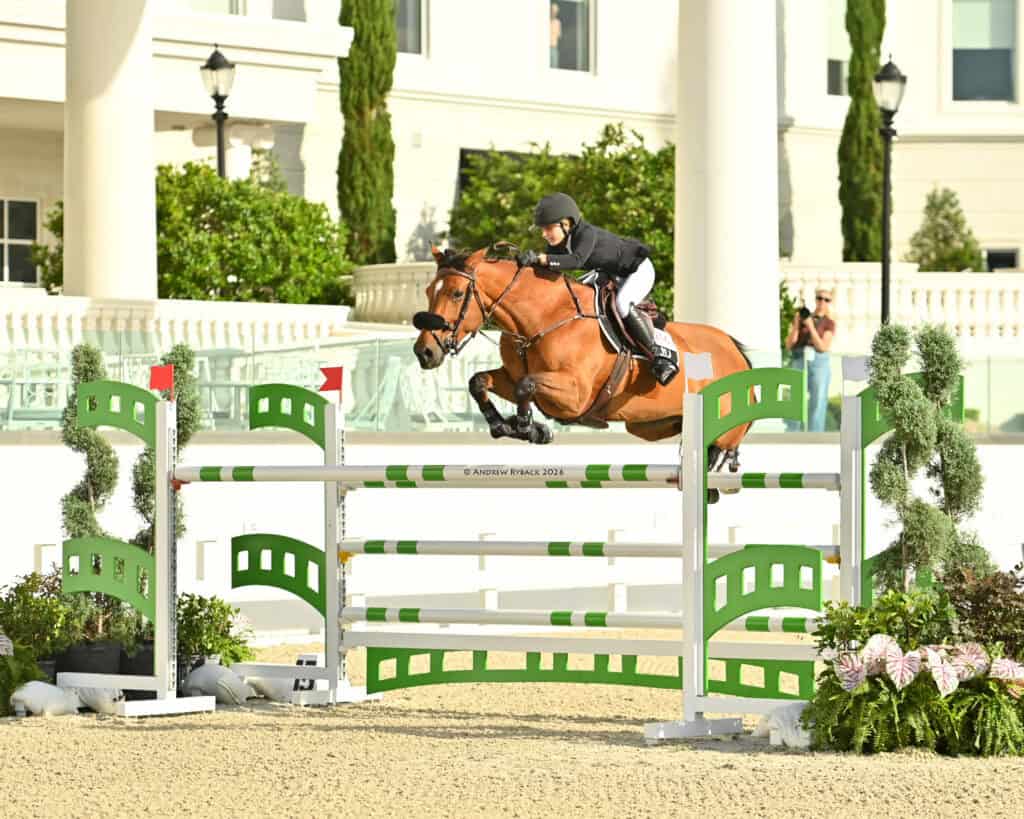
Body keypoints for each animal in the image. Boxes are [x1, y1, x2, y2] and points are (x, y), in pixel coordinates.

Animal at [412, 247, 753, 470]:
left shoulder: (574, 396)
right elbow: (479, 381)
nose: (424, 352)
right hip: (650, 425)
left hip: (718, 434)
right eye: (428, 291)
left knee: (718, 456)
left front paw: (528, 428)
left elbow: (527, 386)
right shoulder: (512, 377)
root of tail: (736, 352)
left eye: (457, 294)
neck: (542, 320)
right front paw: (503, 426)